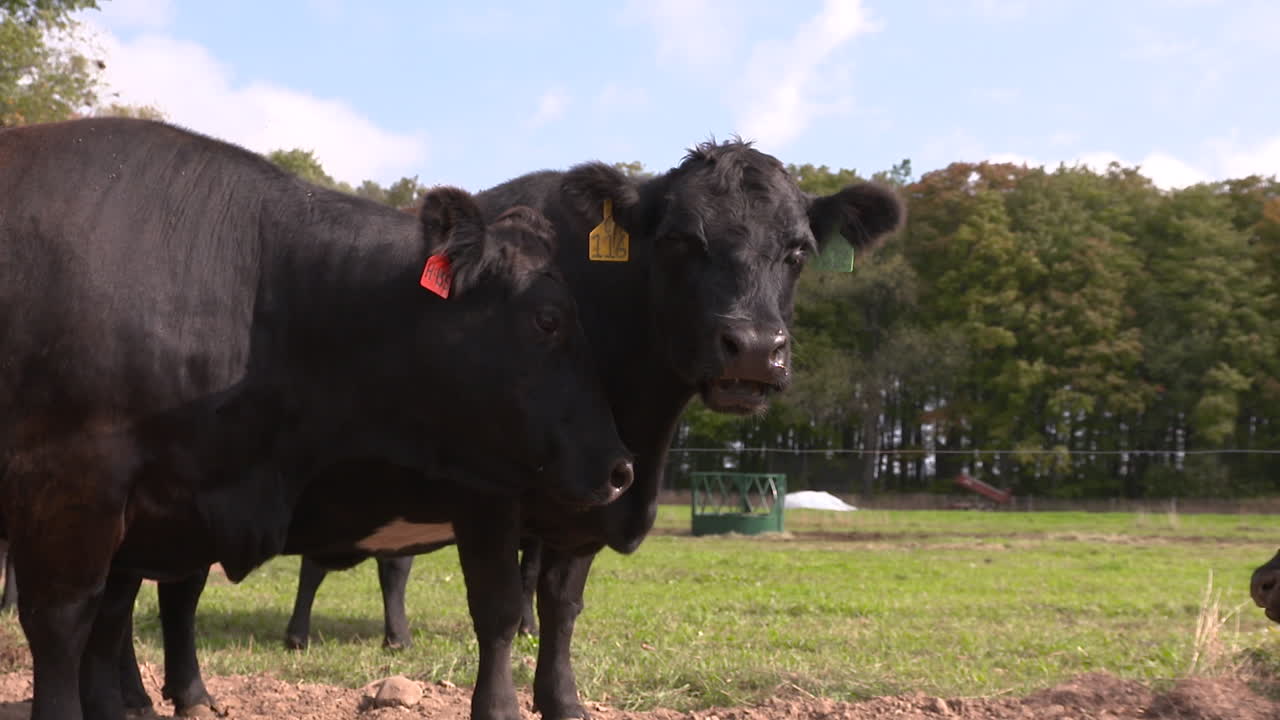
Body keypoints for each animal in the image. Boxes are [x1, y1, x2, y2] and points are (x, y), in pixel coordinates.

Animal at [102, 139, 905, 720]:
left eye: (797, 250)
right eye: (680, 241)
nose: (753, 349)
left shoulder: (589, 502)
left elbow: (560, 608)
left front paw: (564, 703)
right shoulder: (485, 492)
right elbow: (496, 608)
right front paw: (498, 707)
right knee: (161, 588)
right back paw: (176, 694)